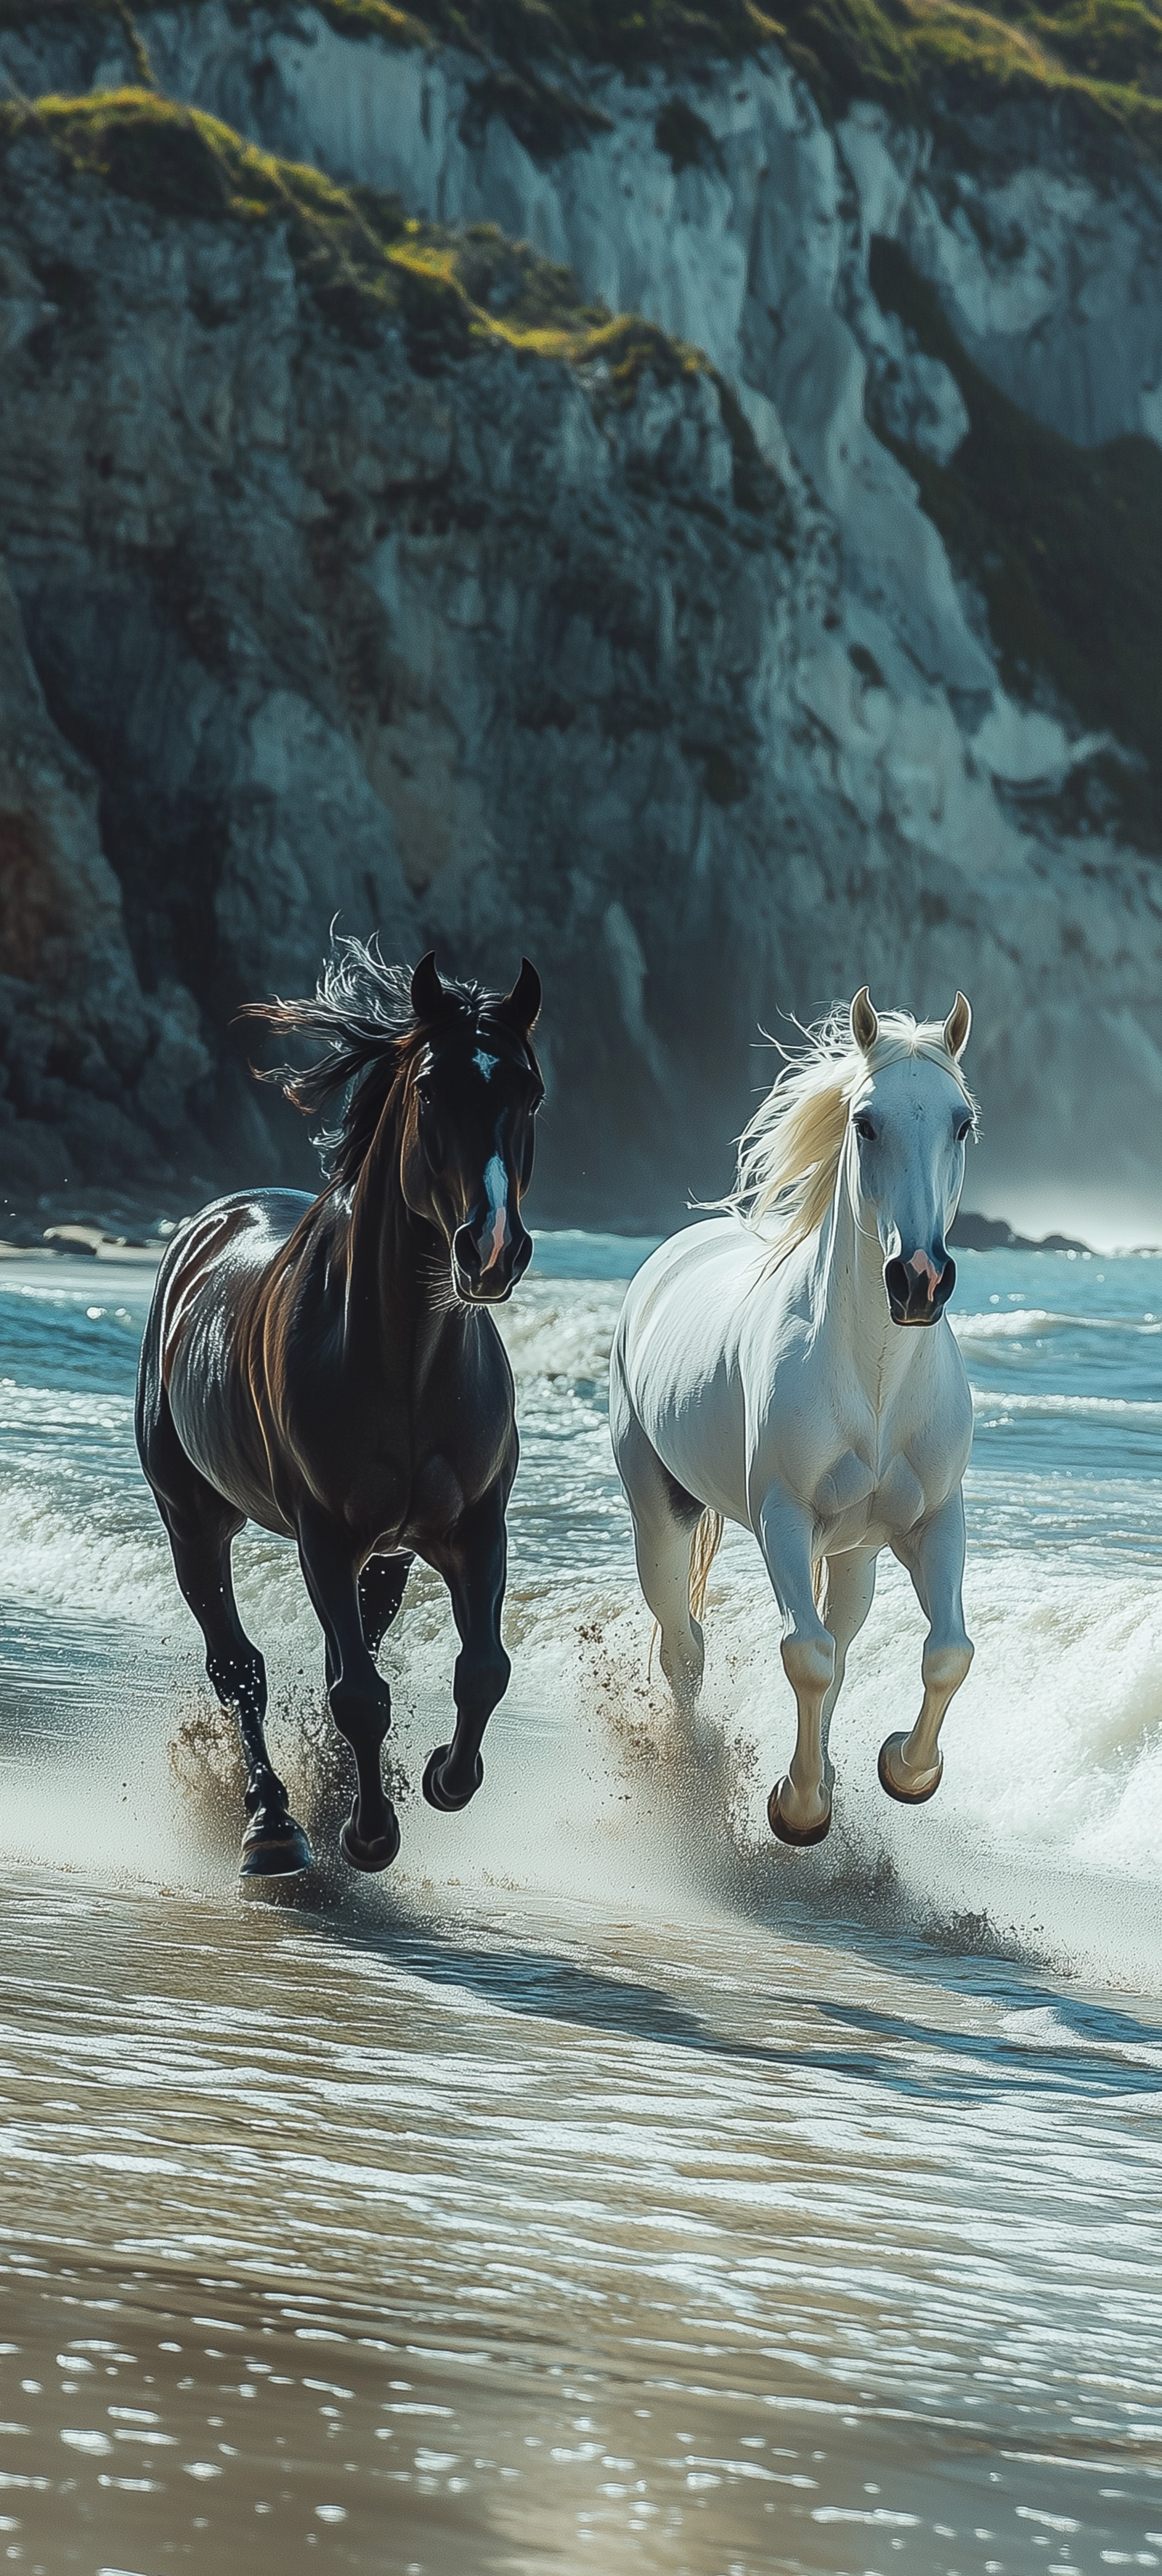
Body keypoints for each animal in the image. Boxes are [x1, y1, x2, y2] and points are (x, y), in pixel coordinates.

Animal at [136, 941, 543, 1880]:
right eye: (430, 1089)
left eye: (530, 1090)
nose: (491, 1249)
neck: (408, 1366)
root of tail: (207, 1224)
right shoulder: (322, 1531)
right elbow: (356, 1691)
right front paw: (367, 1834)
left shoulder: (474, 1526)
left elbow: (481, 1669)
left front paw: (441, 1778)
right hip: (192, 1520)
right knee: (238, 1668)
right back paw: (273, 1826)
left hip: (386, 1554)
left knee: (352, 1641)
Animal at [610, 988, 976, 1844]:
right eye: (865, 1122)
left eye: (963, 1122)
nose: (919, 1279)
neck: (876, 1381)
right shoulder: (784, 1517)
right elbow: (805, 1654)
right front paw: (798, 1808)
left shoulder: (934, 1520)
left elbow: (945, 1652)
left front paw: (905, 1771)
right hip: (660, 1515)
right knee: (685, 1645)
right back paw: (696, 1774)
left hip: (858, 1553)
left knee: (840, 1640)